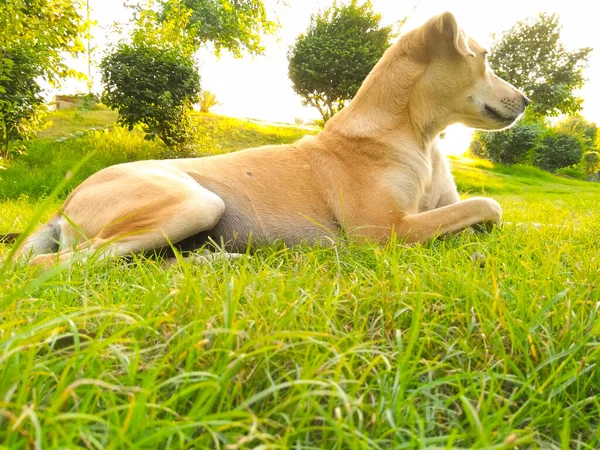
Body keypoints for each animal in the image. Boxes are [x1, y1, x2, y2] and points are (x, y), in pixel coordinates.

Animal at [5, 11, 528, 268]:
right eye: (484, 57)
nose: (525, 100)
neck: (417, 136)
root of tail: (66, 202)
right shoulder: (385, 232)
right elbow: (489, 204)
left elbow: (507, 217)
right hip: (193, 202)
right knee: (63, 266)